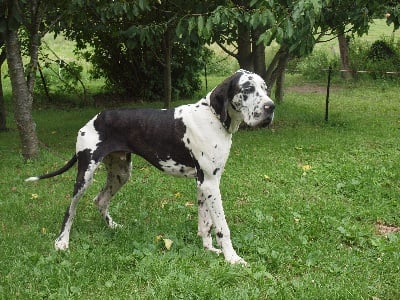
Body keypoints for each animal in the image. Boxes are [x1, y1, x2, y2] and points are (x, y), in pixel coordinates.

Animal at [25, 69, 276, 264]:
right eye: (247, 89)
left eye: (265, 88)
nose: (270, 107)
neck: (213, 117)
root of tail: (93, 119)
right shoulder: (211, 184)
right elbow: (222, 226)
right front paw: (232, 258)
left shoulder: (205, 184)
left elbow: (205, 223)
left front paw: (208, 249)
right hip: (85, 176)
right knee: (71, 209)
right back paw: (62, 241)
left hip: (121, 173)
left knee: (100, 200)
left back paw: (112, 227)